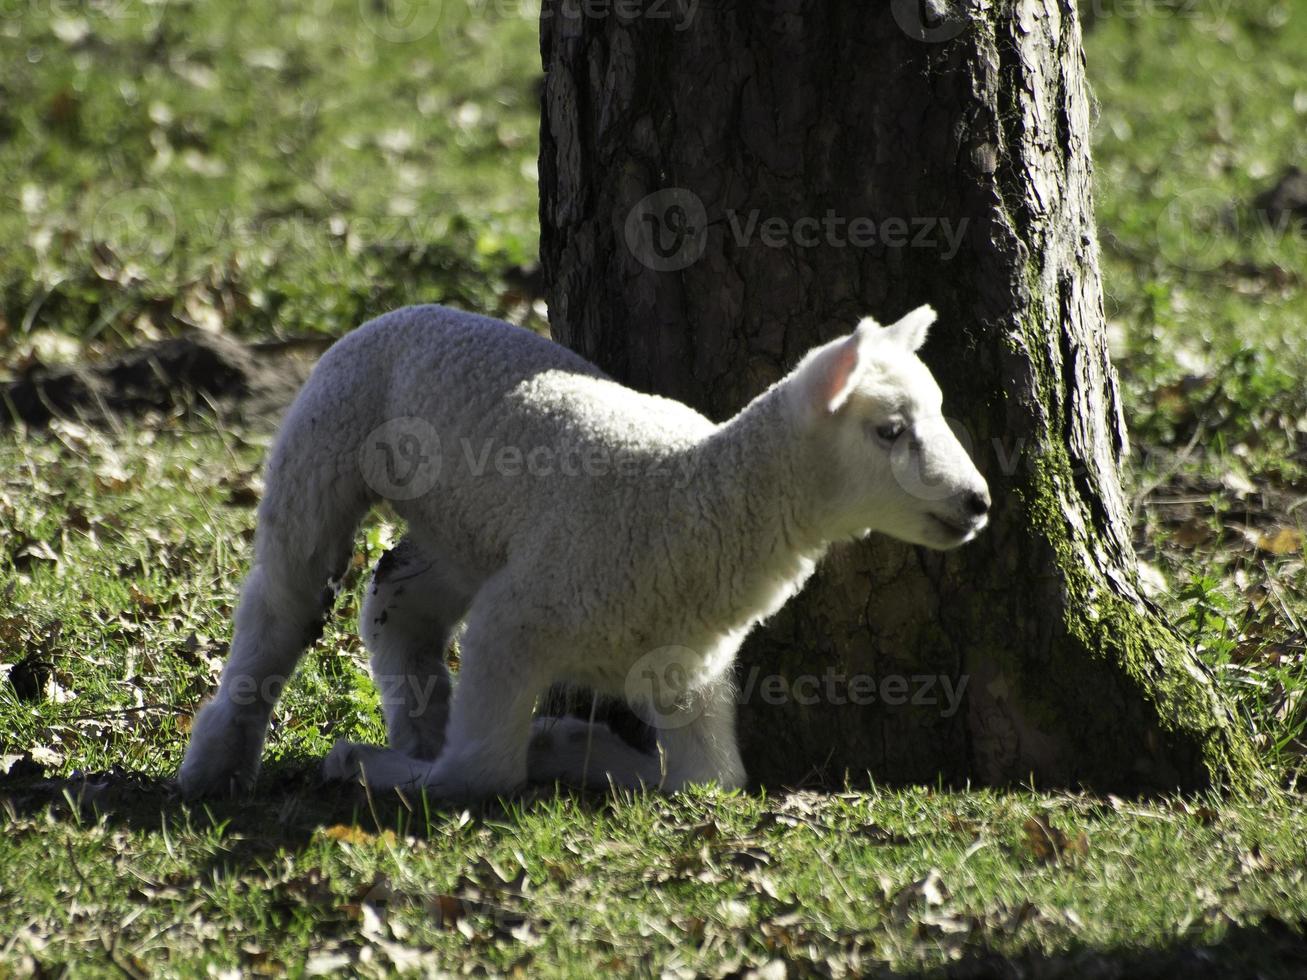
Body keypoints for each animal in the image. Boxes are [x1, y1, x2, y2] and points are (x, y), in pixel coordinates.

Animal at [176, 303, 988, 799]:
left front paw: (566, 747)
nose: (977, 502)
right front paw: (369, 765)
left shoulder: (688, 667)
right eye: (889, 430)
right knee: (281, 600)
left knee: (398, 604)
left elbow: (709, 780)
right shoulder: (516, 622)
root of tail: (416, 309)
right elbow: (482, 771)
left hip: (471, 533)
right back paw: (219, 759)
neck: (694, 496)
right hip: (325, 441)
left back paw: (419, 725)